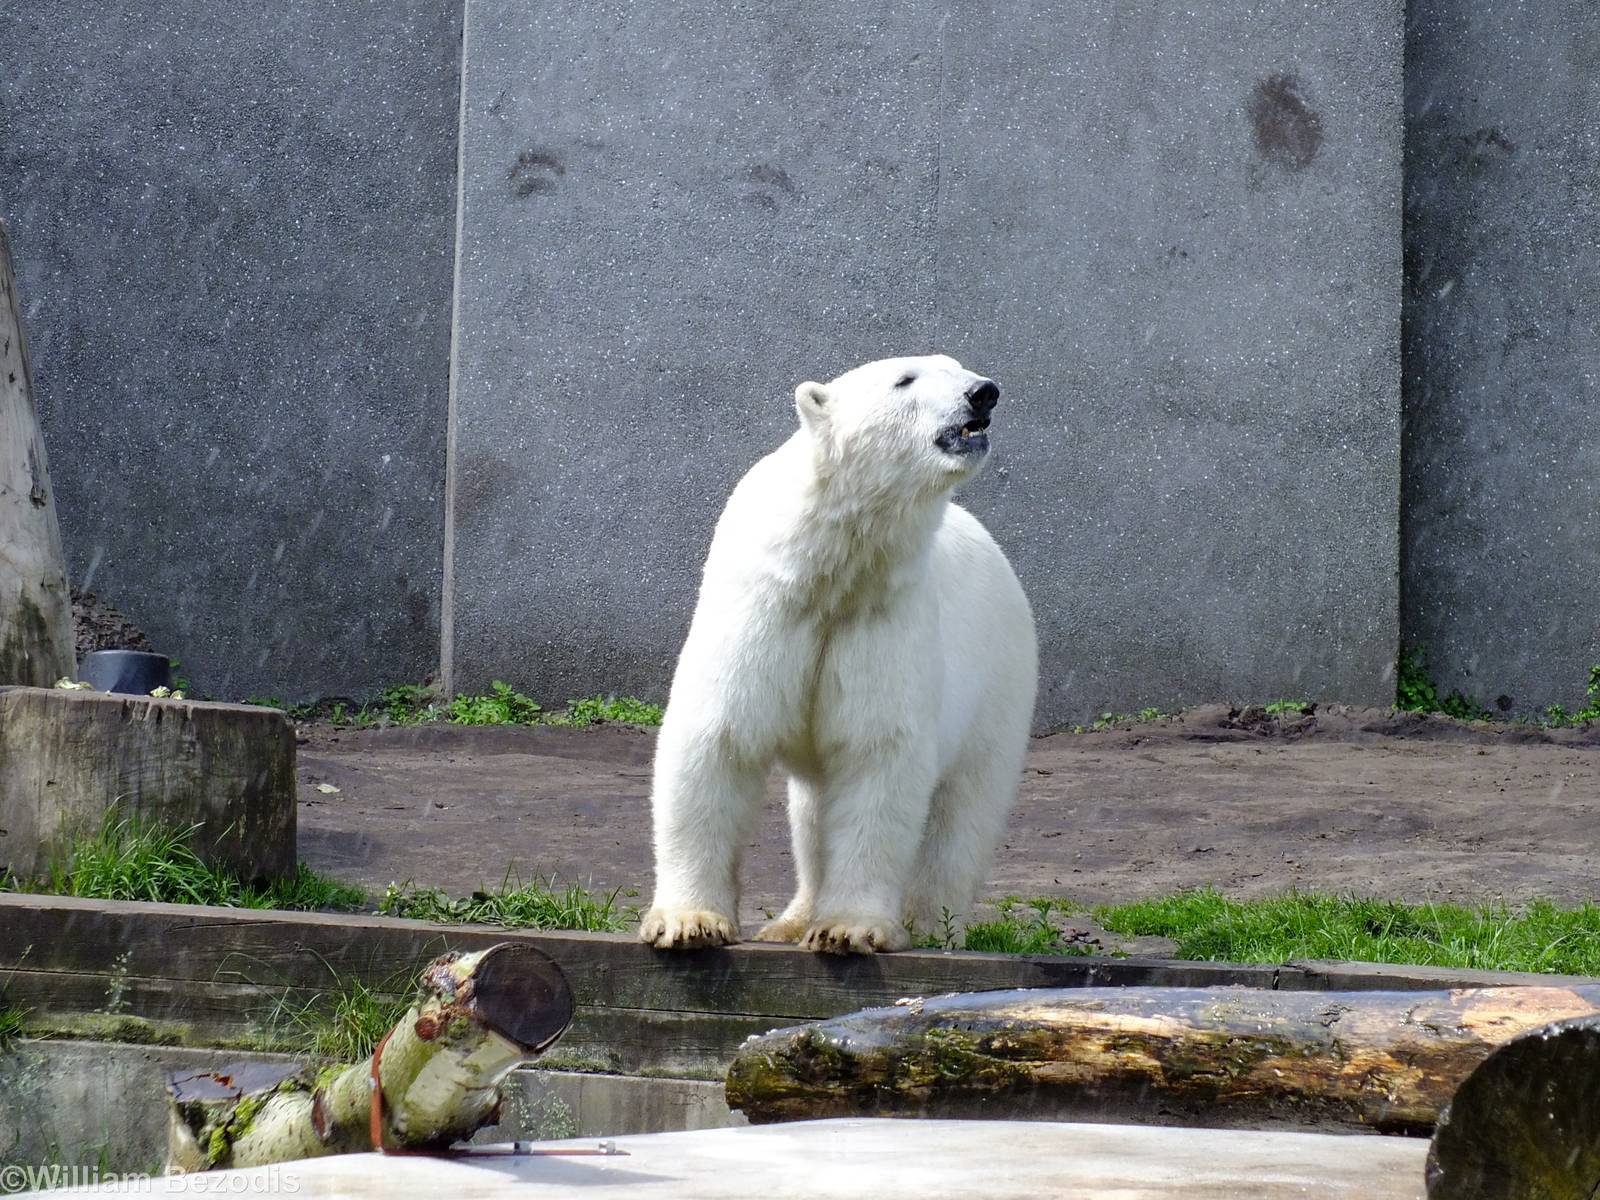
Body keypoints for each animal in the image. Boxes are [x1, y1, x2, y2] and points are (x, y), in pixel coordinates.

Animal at [638, 354, 1038, 954]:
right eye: (906, 379)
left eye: (957, 366)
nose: (983, 392)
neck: (828, 569)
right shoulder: (761, 609)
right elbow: (716, 745)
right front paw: (690, 923)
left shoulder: (886, 618)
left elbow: (877, 757)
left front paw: (850, 928)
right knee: (812, 813)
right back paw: (790, 920)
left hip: (999, 683)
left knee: (963, 813)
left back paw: (930, 926)